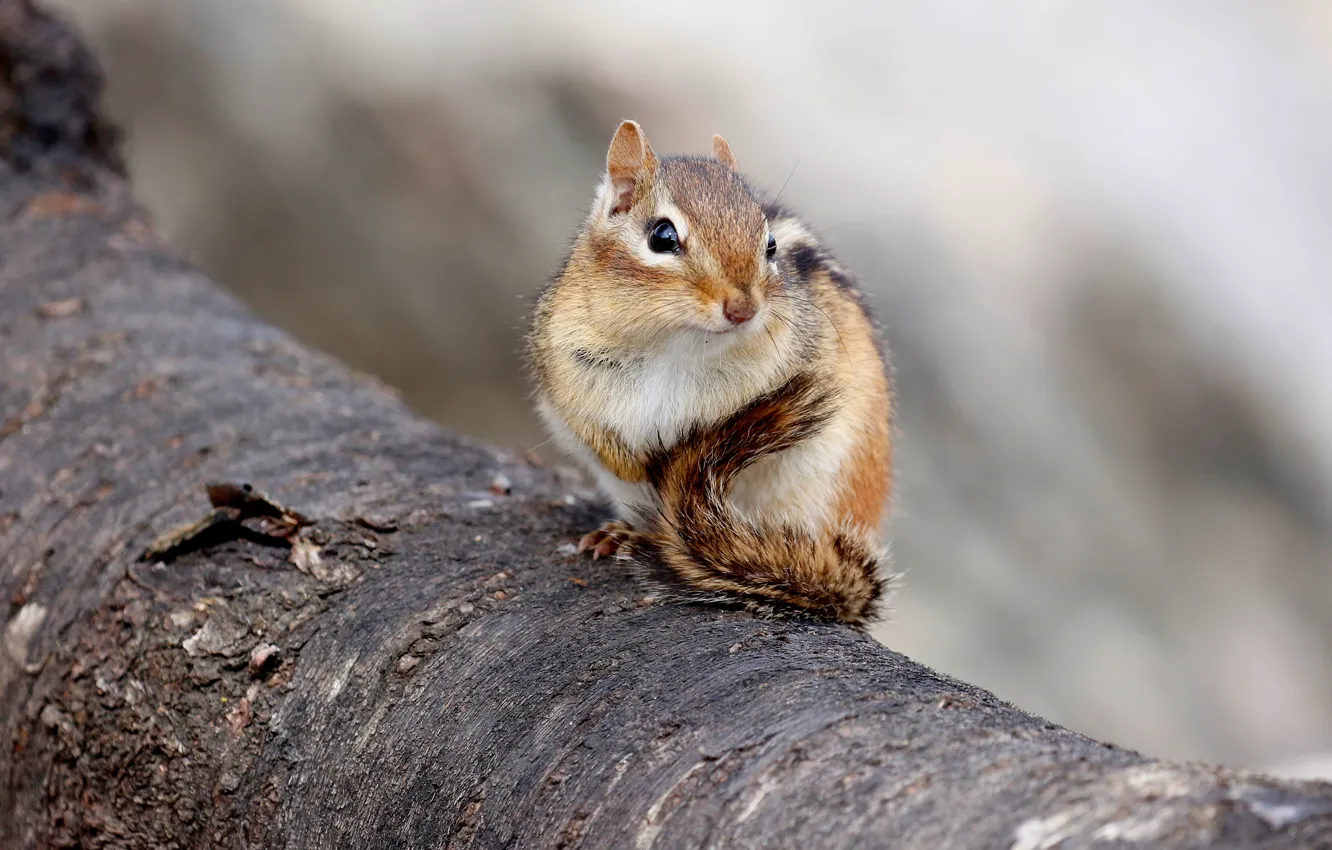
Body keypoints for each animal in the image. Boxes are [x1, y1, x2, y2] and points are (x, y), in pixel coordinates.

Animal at [526, 120, 894, 627]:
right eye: (662, 237)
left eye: (770, 245)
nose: (743, 308)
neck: (675, 345)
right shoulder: (563, 363)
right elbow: (588, 426)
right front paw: (633, 463)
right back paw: (622, 533)